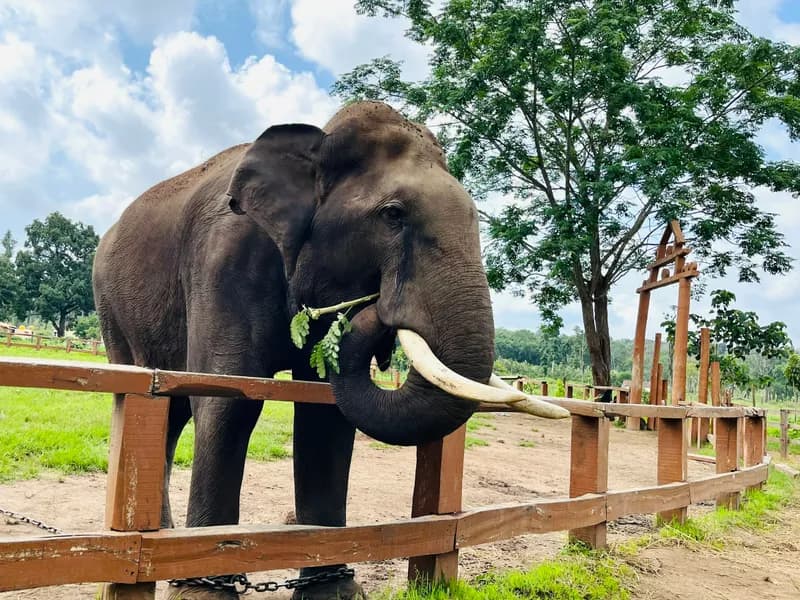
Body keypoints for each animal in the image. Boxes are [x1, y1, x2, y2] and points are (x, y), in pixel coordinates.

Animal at [93, 101, 563, 600]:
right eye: (393, 214)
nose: (377, 305)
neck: (317, 143)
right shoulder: (222, 262)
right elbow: (228, 397)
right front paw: (204, 593)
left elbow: (326, 413)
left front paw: (332, 592)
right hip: (111, 309)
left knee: (171, 410)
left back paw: (157, 536)